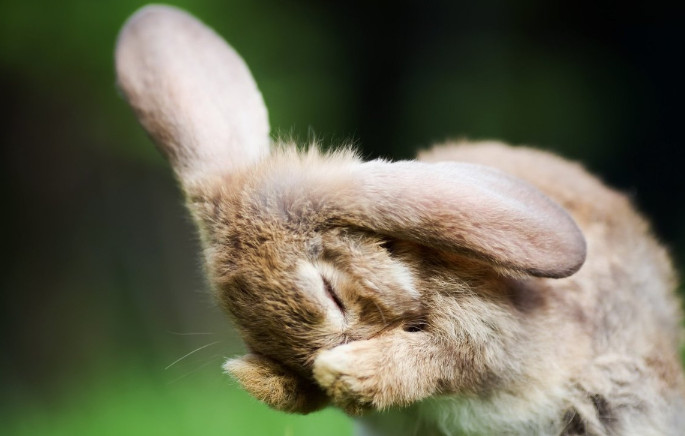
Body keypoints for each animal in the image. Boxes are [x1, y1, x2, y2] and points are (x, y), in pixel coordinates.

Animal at [115, 4, 680, 436]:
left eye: (332, 293)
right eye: (239, 320)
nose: (309, 367)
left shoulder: (490, 337)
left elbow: (443, 359)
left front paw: (340, 371)